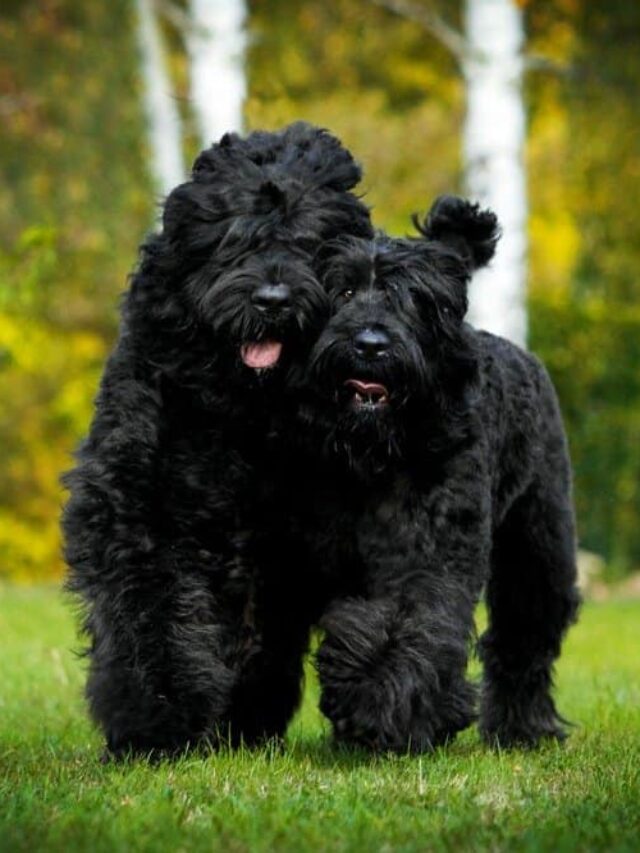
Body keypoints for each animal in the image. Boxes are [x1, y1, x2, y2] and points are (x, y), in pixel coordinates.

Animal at [62, 123, 372, 756]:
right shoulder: (143, 504)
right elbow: (150, 606)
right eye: (234, 242)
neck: (243, 408)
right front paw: (156, 717)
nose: (273, 300)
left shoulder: (288, 541)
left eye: (310, 244)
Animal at [288, 195, 584, 752]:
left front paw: (383, 699)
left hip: (538, 545)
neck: (381, 455)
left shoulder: (433, 555)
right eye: (344, 289)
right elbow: (361, 620)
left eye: (410, 298)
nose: (370, 343)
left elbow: (414, 622)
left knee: (524, 636)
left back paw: (522, 728)